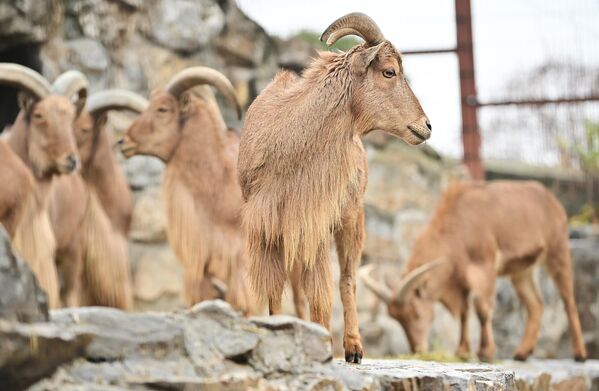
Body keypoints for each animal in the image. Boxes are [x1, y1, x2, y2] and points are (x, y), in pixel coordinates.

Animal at [238, 11, 432, 364]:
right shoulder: (268, 228)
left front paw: (322, 342)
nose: (426, 127)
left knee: (347, 279)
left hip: (351, 219)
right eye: (389, 71)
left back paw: (353, 348)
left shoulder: (315, 222)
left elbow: (322, 290)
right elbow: (274, 289)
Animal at [358, 182, 588, 362]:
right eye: (396, 318)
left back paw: (580, 354)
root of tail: (552, 200)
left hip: (558, 250)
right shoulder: (460, 279)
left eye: (415, 313)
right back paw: (521, 353)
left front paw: (485, 353)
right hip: (521, 271)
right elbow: (463, 312)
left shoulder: (484, 265)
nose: (417, 349)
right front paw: (462, 352)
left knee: (568, 301)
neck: (459, 224)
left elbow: (482, 308)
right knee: (536, 304)